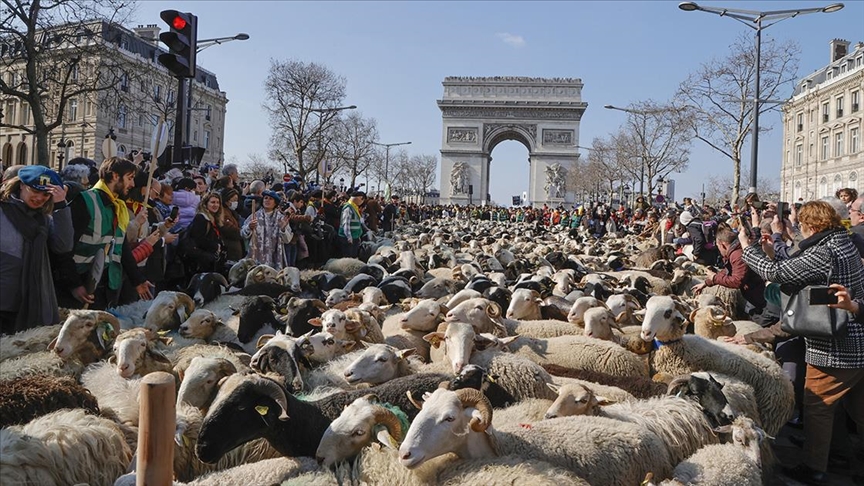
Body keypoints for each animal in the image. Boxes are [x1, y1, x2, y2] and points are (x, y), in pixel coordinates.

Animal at [636, 294, 792, 434]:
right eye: (647, 308)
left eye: (667, 312)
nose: (646, 333)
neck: (680, 348)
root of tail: (782, 374)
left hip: (770, 418)